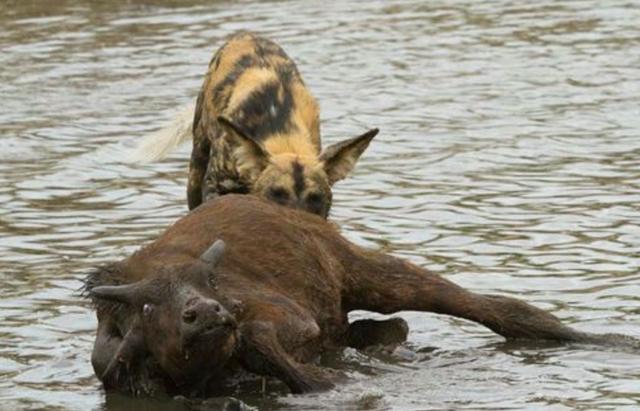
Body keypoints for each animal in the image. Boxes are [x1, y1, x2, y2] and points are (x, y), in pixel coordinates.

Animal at [131, 32, 380, 219]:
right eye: (276, 194)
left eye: (315, 199)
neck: (282, 133)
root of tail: (245, 35)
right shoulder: (216, 186)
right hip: (196, 167)